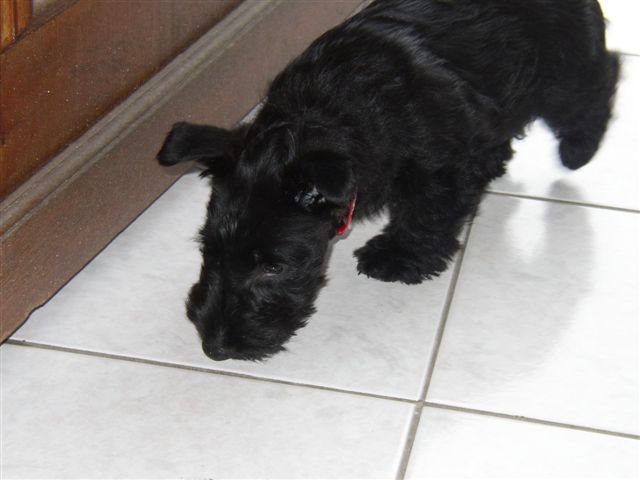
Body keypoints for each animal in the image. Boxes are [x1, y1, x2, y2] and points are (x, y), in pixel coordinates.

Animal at [157, 0, 619, 361]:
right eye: (208, 251)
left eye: (273, 267)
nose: (214, 348)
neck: (332, 110)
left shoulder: (438, 167)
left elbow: (427, 213)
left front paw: (399, 257)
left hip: (566, 70)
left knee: (600, 79)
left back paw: (579, 149)